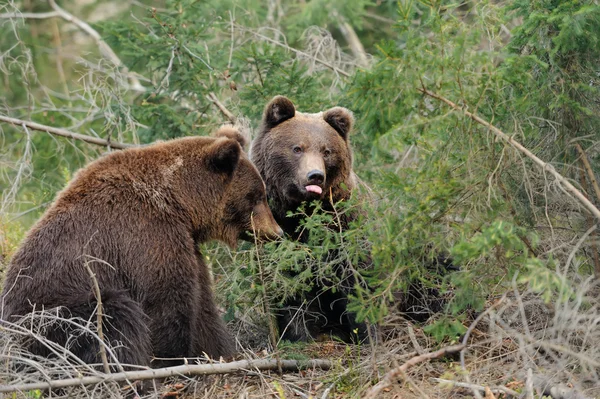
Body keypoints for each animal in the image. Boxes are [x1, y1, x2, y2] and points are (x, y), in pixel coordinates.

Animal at [1, 130, 282, 368]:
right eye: (257, 195)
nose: (277, 231)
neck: (179, 203)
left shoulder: (186, 242)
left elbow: (203, 303)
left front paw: (220, 352)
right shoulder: (145, 235)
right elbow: (166, 299)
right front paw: (172, 359)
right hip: (49, 318)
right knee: (114, 315)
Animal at [250, 96, 370, 344]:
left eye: (326, 151)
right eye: (297, 148)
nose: (315, 175)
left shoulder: (344, 224)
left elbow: (360, 277)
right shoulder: (280, 231)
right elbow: (291, 288)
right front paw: (300, 334)